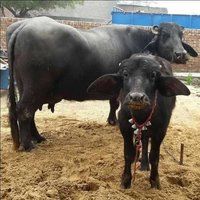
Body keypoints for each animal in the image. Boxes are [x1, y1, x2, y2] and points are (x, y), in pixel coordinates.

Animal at [7, 16, 198, 150]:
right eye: (165, 35)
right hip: (35, 87)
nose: (181, 54)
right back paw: (29, 144)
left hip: (24, 86)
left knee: (28, 112)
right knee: (24, 111)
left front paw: (111, 120)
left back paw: (38, 138)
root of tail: (22, 27)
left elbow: (112, 103)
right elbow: (118, 104)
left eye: (181, 35)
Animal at [88, 53, 191, 189]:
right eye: (125, 74)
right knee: (143, 140)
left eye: (153, 75)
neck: (141, 115)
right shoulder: (124, 126)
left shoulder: (161, 131)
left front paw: (155, 181)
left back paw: (145, 164)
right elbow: (128, 154)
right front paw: (126, 181)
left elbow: (154, 157)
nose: (136, 97)